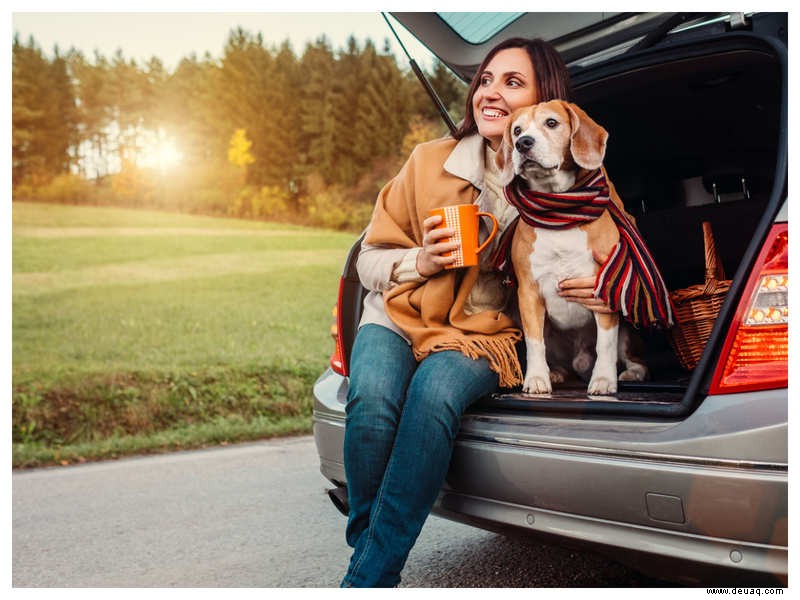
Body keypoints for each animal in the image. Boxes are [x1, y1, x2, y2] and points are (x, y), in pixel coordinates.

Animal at [496, 101, 652, 396]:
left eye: (551, 123)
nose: (523, 143)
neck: (558, 212)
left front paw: (603, 380)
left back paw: (632, 373)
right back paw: (555, 373)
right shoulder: (529, 294)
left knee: (634, 358)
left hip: (627, 332)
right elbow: (534, 343)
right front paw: (537, 377)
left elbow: (605, 344)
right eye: (517, 130)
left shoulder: (602, 289)